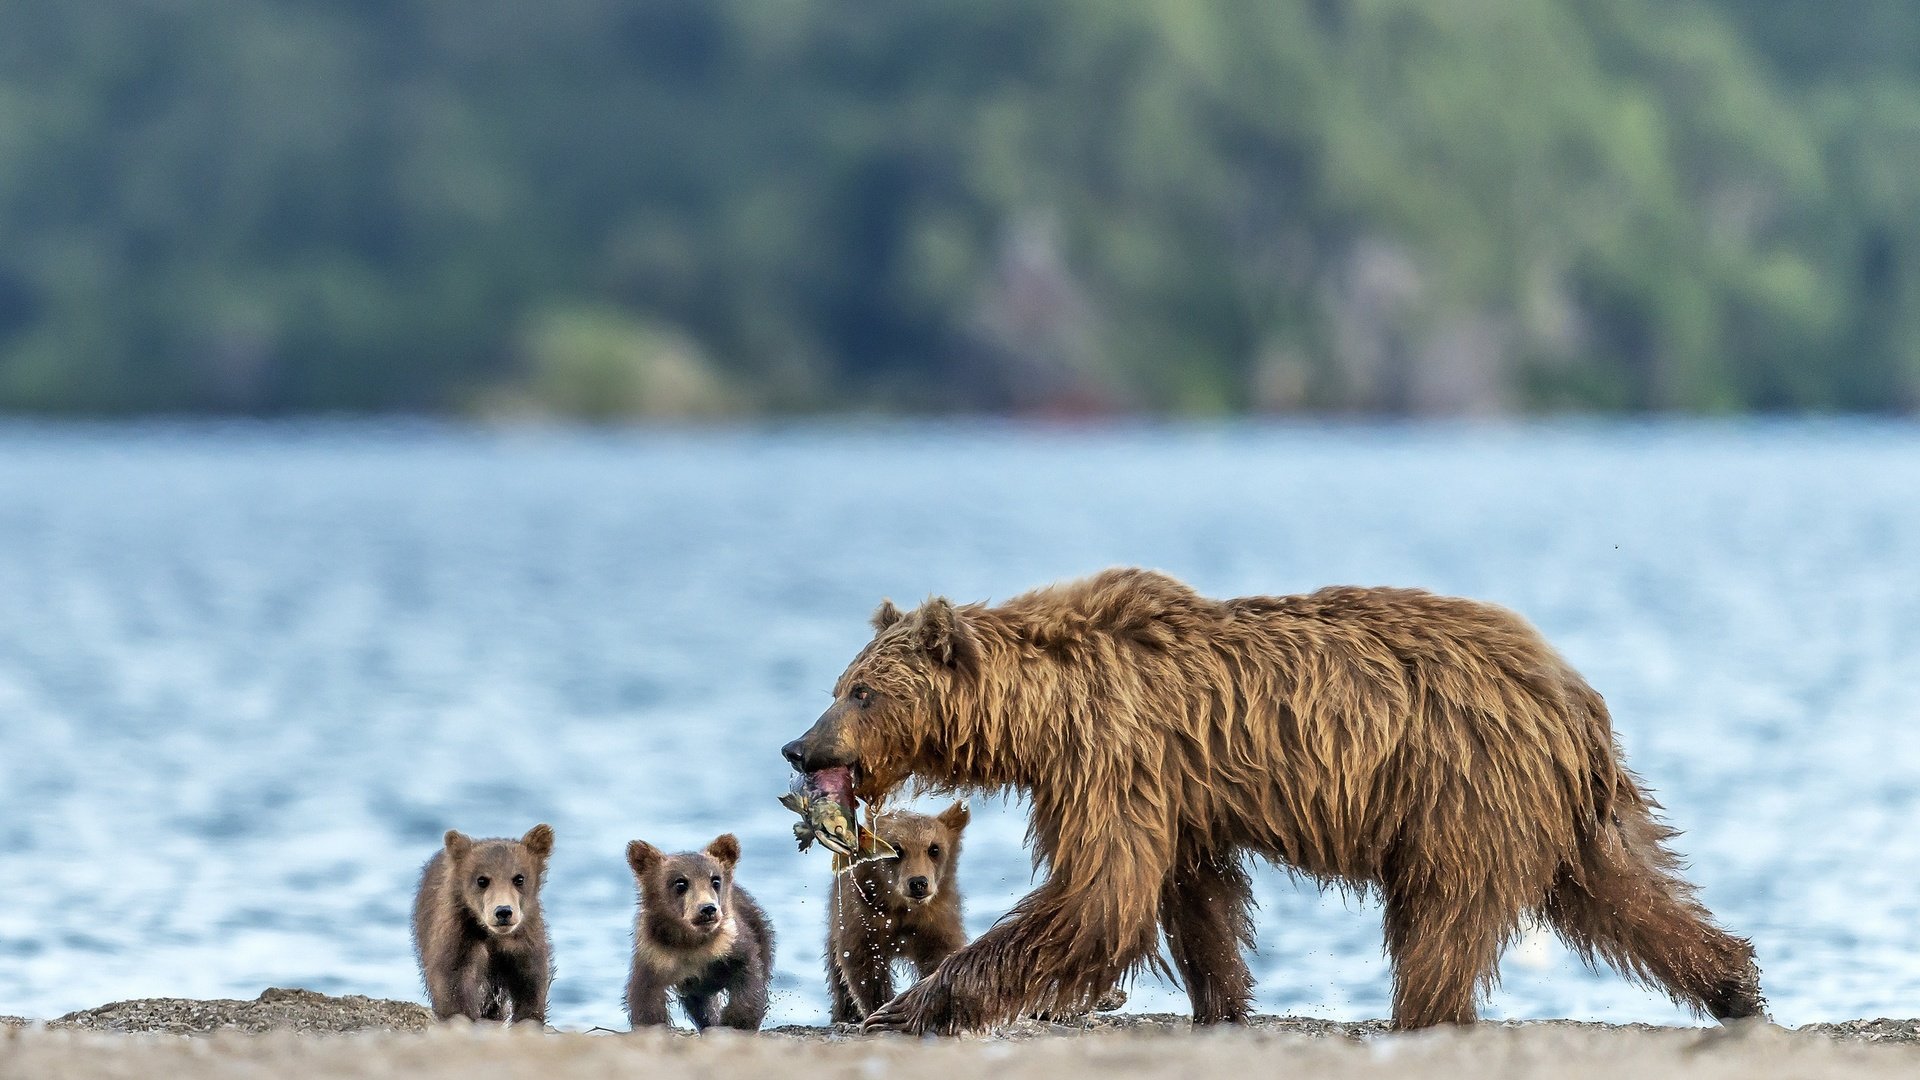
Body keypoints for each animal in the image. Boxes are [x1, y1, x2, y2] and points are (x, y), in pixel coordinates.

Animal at [775, 568, 1758, 1030]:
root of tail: (1576, 696)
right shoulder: (1177, 791)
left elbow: (1098, 895)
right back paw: (1735, 981)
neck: (1044, 713)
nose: (800, 746)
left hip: (1463, 788)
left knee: (1444, 916)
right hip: (1557, 806)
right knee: (1623, 892)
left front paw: (917, 1004)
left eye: (862, 692)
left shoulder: (1117, 758)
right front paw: (1222, 998)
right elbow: (1193, 895)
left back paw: (1421, 1010)